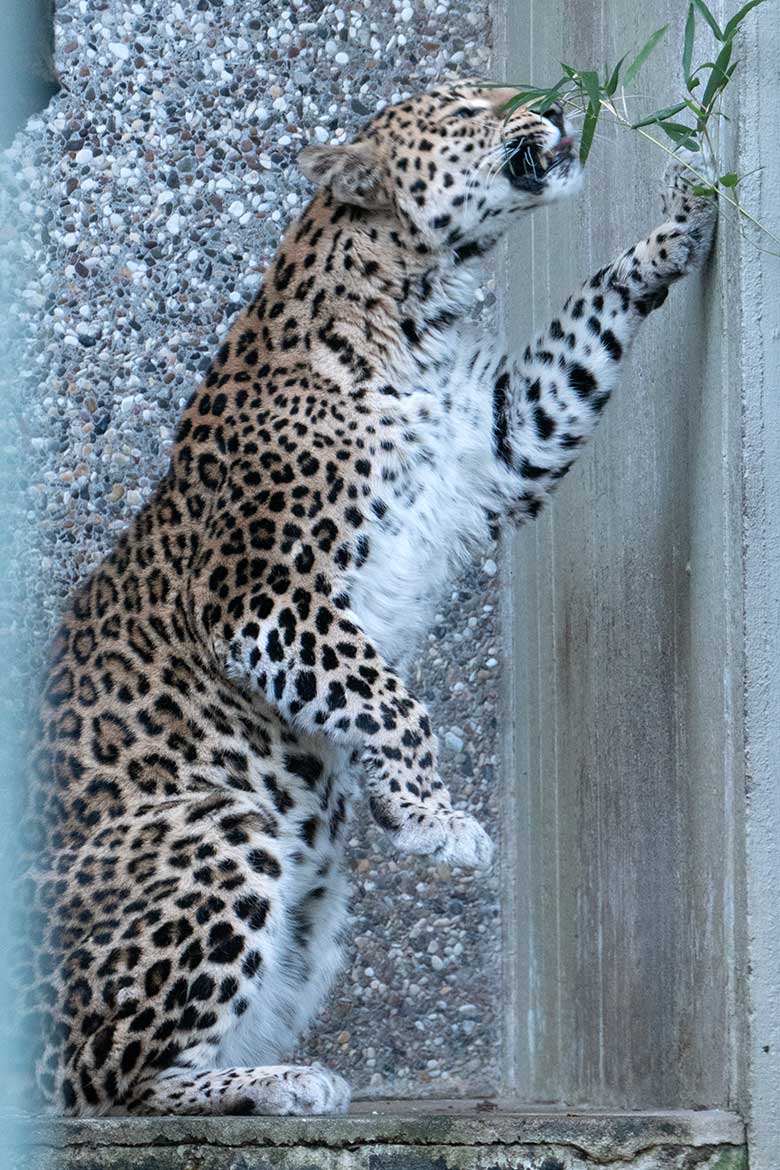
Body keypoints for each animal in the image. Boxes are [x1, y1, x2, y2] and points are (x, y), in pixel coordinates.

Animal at [18, 77, 715, 1118]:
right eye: (469, 108)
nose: (556, 103)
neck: (419, 313)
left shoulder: (500, 446)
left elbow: (583, 327)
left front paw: (677, 223)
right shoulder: (261, 595)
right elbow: (389, 697)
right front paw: (430, 819)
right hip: (220, 827)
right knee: (103, 1082)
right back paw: (276, 1081)